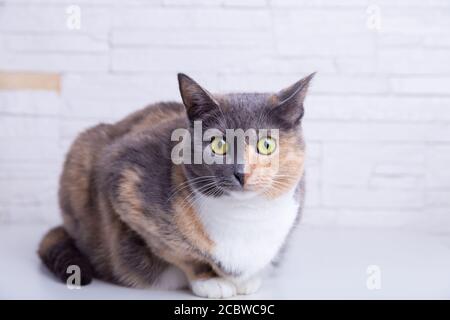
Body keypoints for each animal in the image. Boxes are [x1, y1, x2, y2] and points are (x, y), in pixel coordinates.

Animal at [37, 72, 312, 298]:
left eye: (266, 144)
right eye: (218, 144)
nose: (241, 172)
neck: (245, 217)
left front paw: (246, 279)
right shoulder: (125, 180)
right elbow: (181, 253)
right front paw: (210, 280)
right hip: (81, 153)